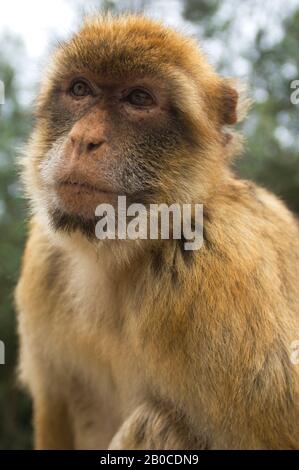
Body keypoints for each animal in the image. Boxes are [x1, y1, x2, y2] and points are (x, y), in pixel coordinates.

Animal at [14, 12, 299, 450]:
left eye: (138, 99)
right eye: (79, 89)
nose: (83, 139)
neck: (117, 256)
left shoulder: (215, 267)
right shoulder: (44, 258)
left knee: (158, 423)